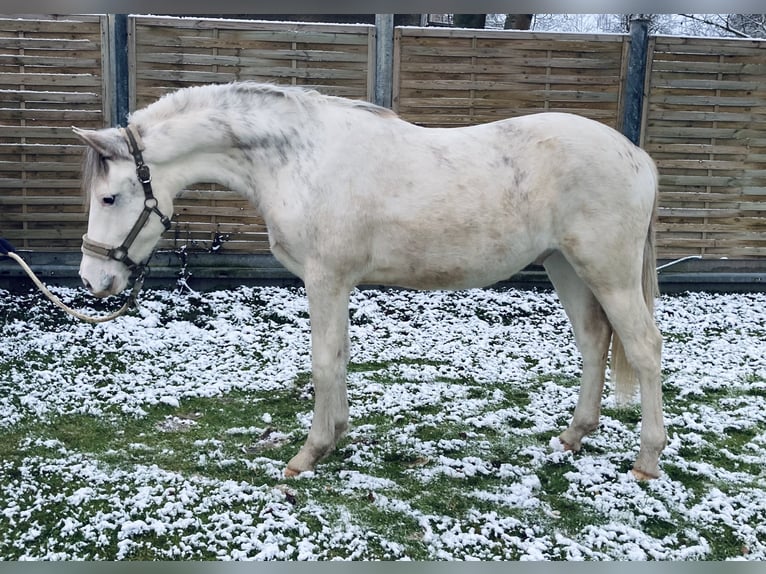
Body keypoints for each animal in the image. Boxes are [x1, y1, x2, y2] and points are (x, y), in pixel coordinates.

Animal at [75, 82, 668, 482]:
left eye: (109, 197)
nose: (93, 280)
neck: (301, 160)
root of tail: (638, 157)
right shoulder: (336, 283)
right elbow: (338, 358)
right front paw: (335, 439)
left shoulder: (326, 279)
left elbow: (323, 361)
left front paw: (308, 454)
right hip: (565, 265)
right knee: (594, 341)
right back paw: (572, 437)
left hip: (608, 271)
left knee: (643, 348)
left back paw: (646, 461)